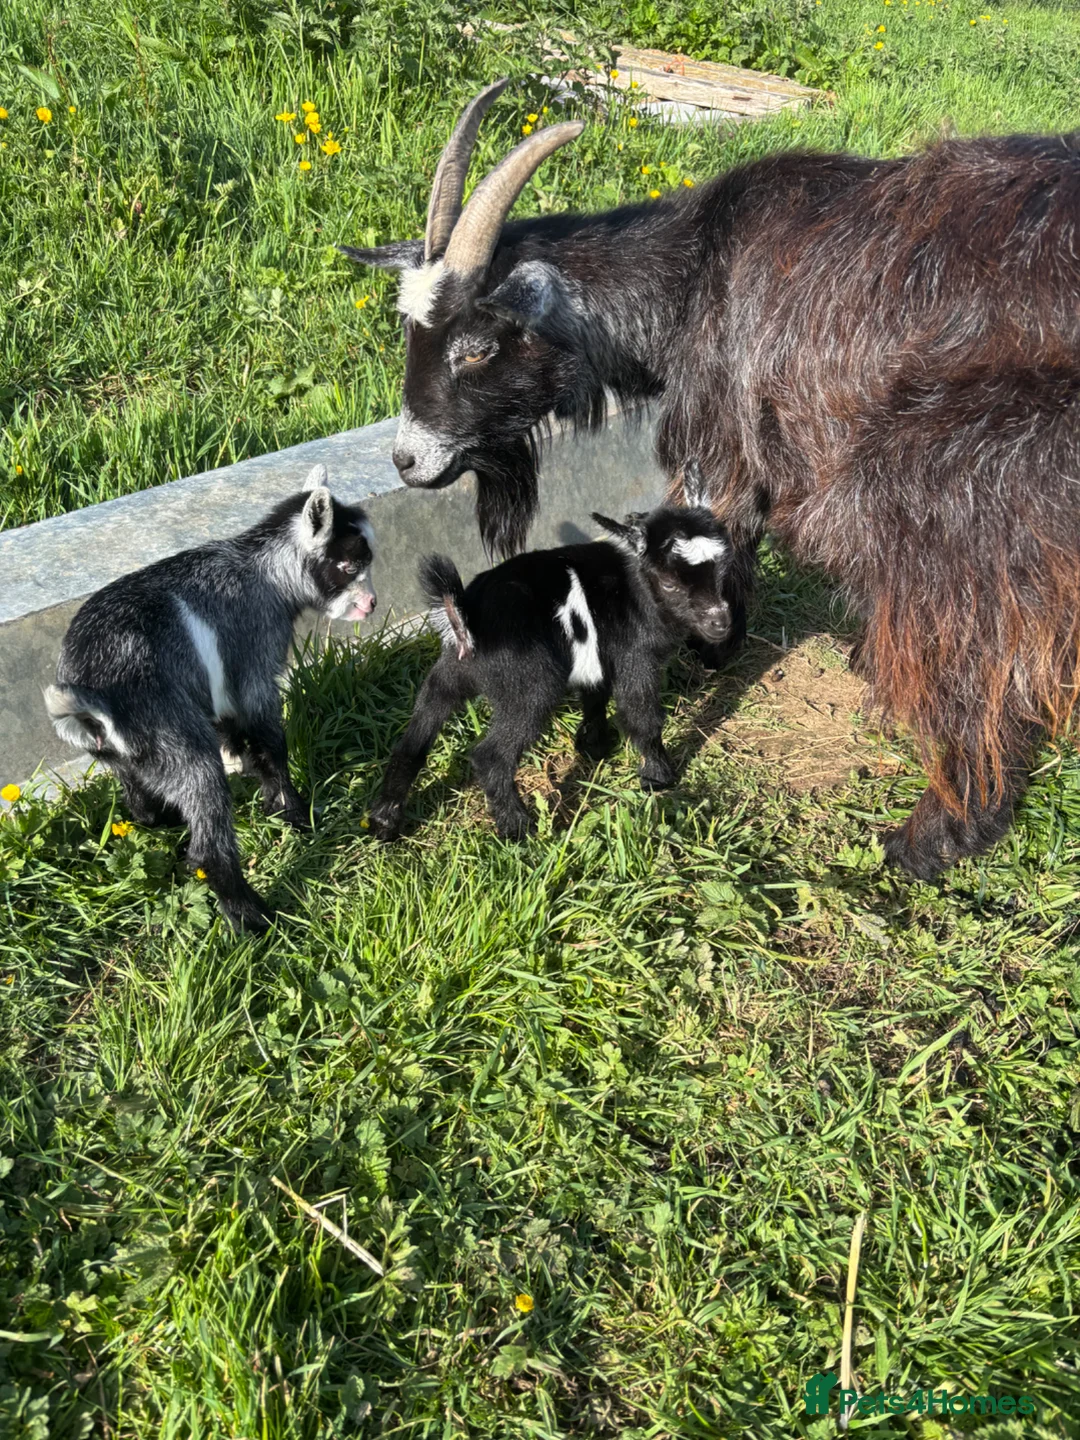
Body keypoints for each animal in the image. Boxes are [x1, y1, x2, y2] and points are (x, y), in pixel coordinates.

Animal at [45, 465, 376, 932]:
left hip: (132, 759)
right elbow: (271, 743)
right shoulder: (256, 666)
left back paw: (165, 821)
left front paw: (245, 763)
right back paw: (253, 919)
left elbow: (237, 731)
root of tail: (92, 704)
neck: (264, 571)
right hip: (181, 744)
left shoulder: (218, 689)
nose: (371, 604)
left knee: (139, 800)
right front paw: (293, 813)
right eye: (346, 566)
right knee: (208, 844)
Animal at [368, 486, 731, 841]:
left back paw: (384, 822)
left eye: (721, 571)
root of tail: (467, 619)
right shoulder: (635, 656)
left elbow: (595, 696)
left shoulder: (596, 654)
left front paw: (594, 746)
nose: (720, 624)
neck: (634, 589)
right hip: (530, 686)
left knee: (415, 737)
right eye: (670, 583)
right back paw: (517, 828)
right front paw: (659, 778)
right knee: (491, 755)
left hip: (448, 674)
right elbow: (642, 716)